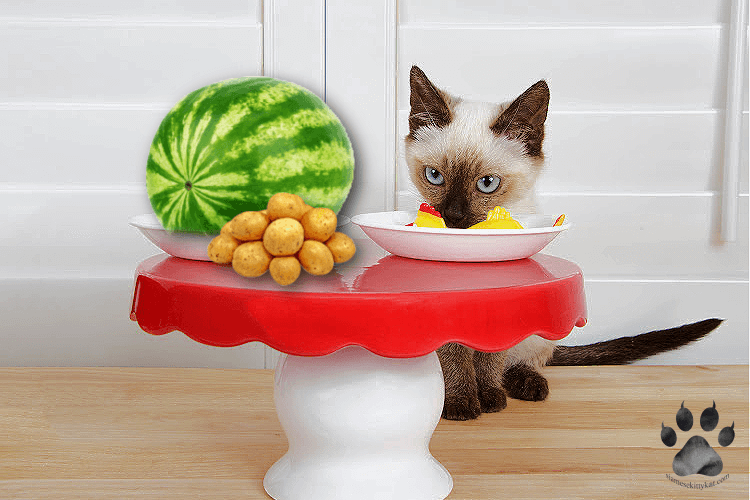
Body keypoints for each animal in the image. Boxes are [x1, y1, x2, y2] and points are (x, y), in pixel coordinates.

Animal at [408, 64, 724, 420]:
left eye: (487, 184)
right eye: (434, 176)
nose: (453, 216)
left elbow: (490, 359)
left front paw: (488, 398)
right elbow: (454, 359)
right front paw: (461, 402)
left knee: (527, 359)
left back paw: (526, 385)